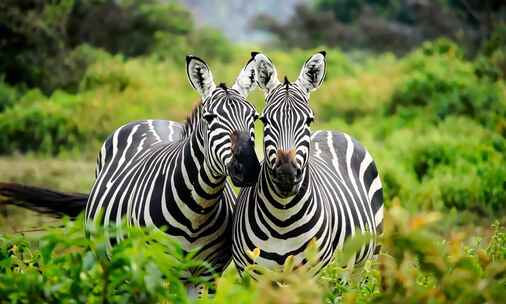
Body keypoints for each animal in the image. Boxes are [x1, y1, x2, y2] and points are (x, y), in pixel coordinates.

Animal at [0, 54, 260, 292]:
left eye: (254, 117)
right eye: (210, 118)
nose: (248, 169)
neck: (197, 210)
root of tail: (151, 119)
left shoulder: (208, 276)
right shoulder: (154, 269)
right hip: (115, 265)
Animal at [230, 51, 384, 276]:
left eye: (308, 120)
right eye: (265, 120)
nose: (286, 176)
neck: (282, 220)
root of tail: (333, 131)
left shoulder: (313, 274)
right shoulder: (252, 273)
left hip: (367, 261)